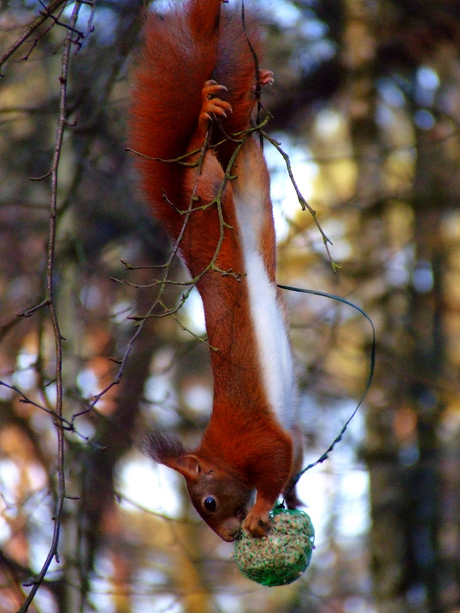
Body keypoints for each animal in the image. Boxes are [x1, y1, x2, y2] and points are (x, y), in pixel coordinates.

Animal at [129, 0, 302, 540]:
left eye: (207, 501)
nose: (226, 536)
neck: (220, 450)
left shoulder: (258, 440)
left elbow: (275, 467)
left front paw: (261, 509)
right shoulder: (291, 438)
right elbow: (296, 463)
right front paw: (292, 502)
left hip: (205, 198)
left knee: (195, 159)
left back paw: (203, 116)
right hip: (248, 202)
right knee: (245, 154)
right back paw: (248, 97)